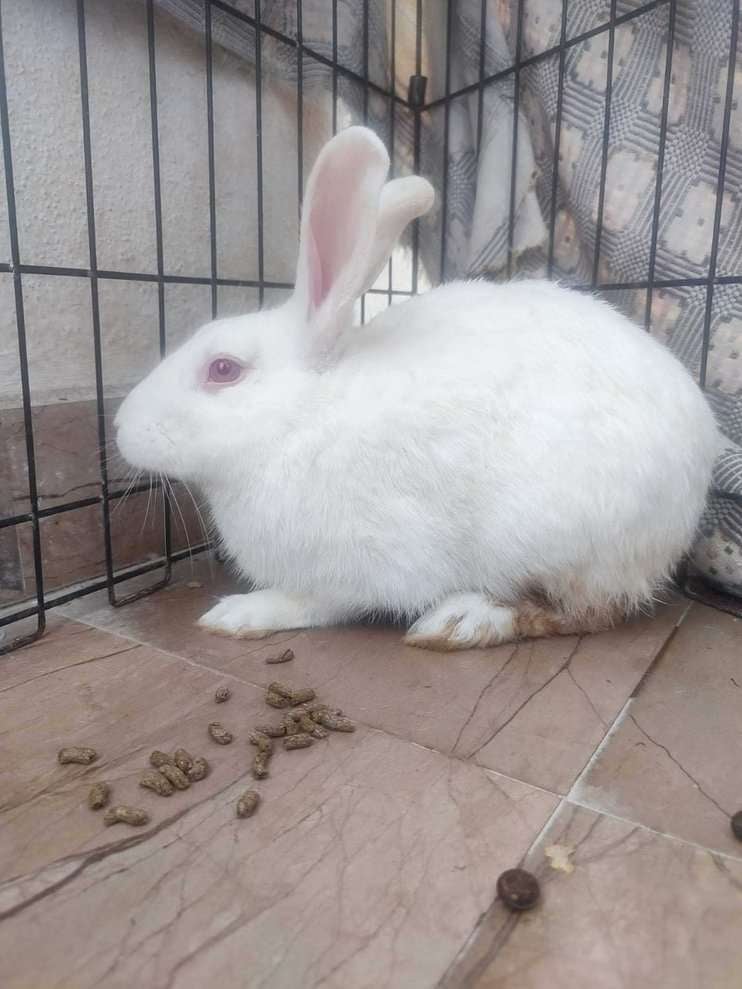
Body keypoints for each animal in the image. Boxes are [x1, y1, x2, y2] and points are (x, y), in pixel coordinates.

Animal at [115, 125, 719, 651]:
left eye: (223, 370)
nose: (120, 427)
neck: (298, 421)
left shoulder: (368, 561)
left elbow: (317, 602)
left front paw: (241, 614)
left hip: (568, 542)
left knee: (585, 611)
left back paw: (461, 621)